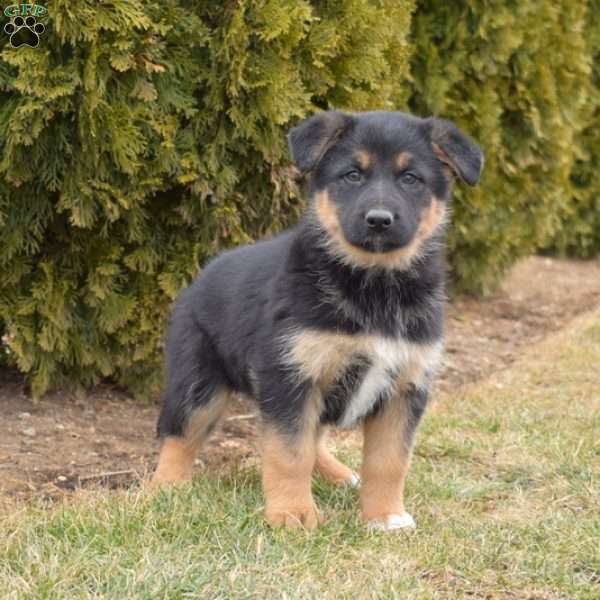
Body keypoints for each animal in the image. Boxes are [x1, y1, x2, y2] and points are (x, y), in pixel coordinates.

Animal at [151, 110, 482, 532]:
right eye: (352, 175)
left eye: (411, 179)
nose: (379, 220)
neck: (373, 285)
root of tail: (203, 272)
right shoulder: (291, 374)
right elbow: (290, 453)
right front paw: (292, 513)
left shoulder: (405, 386)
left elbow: (389, 461)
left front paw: (385, 515)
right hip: (199, 381)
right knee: (180, 434)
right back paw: (166, 489)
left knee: (316, 438)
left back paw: (339, 475)